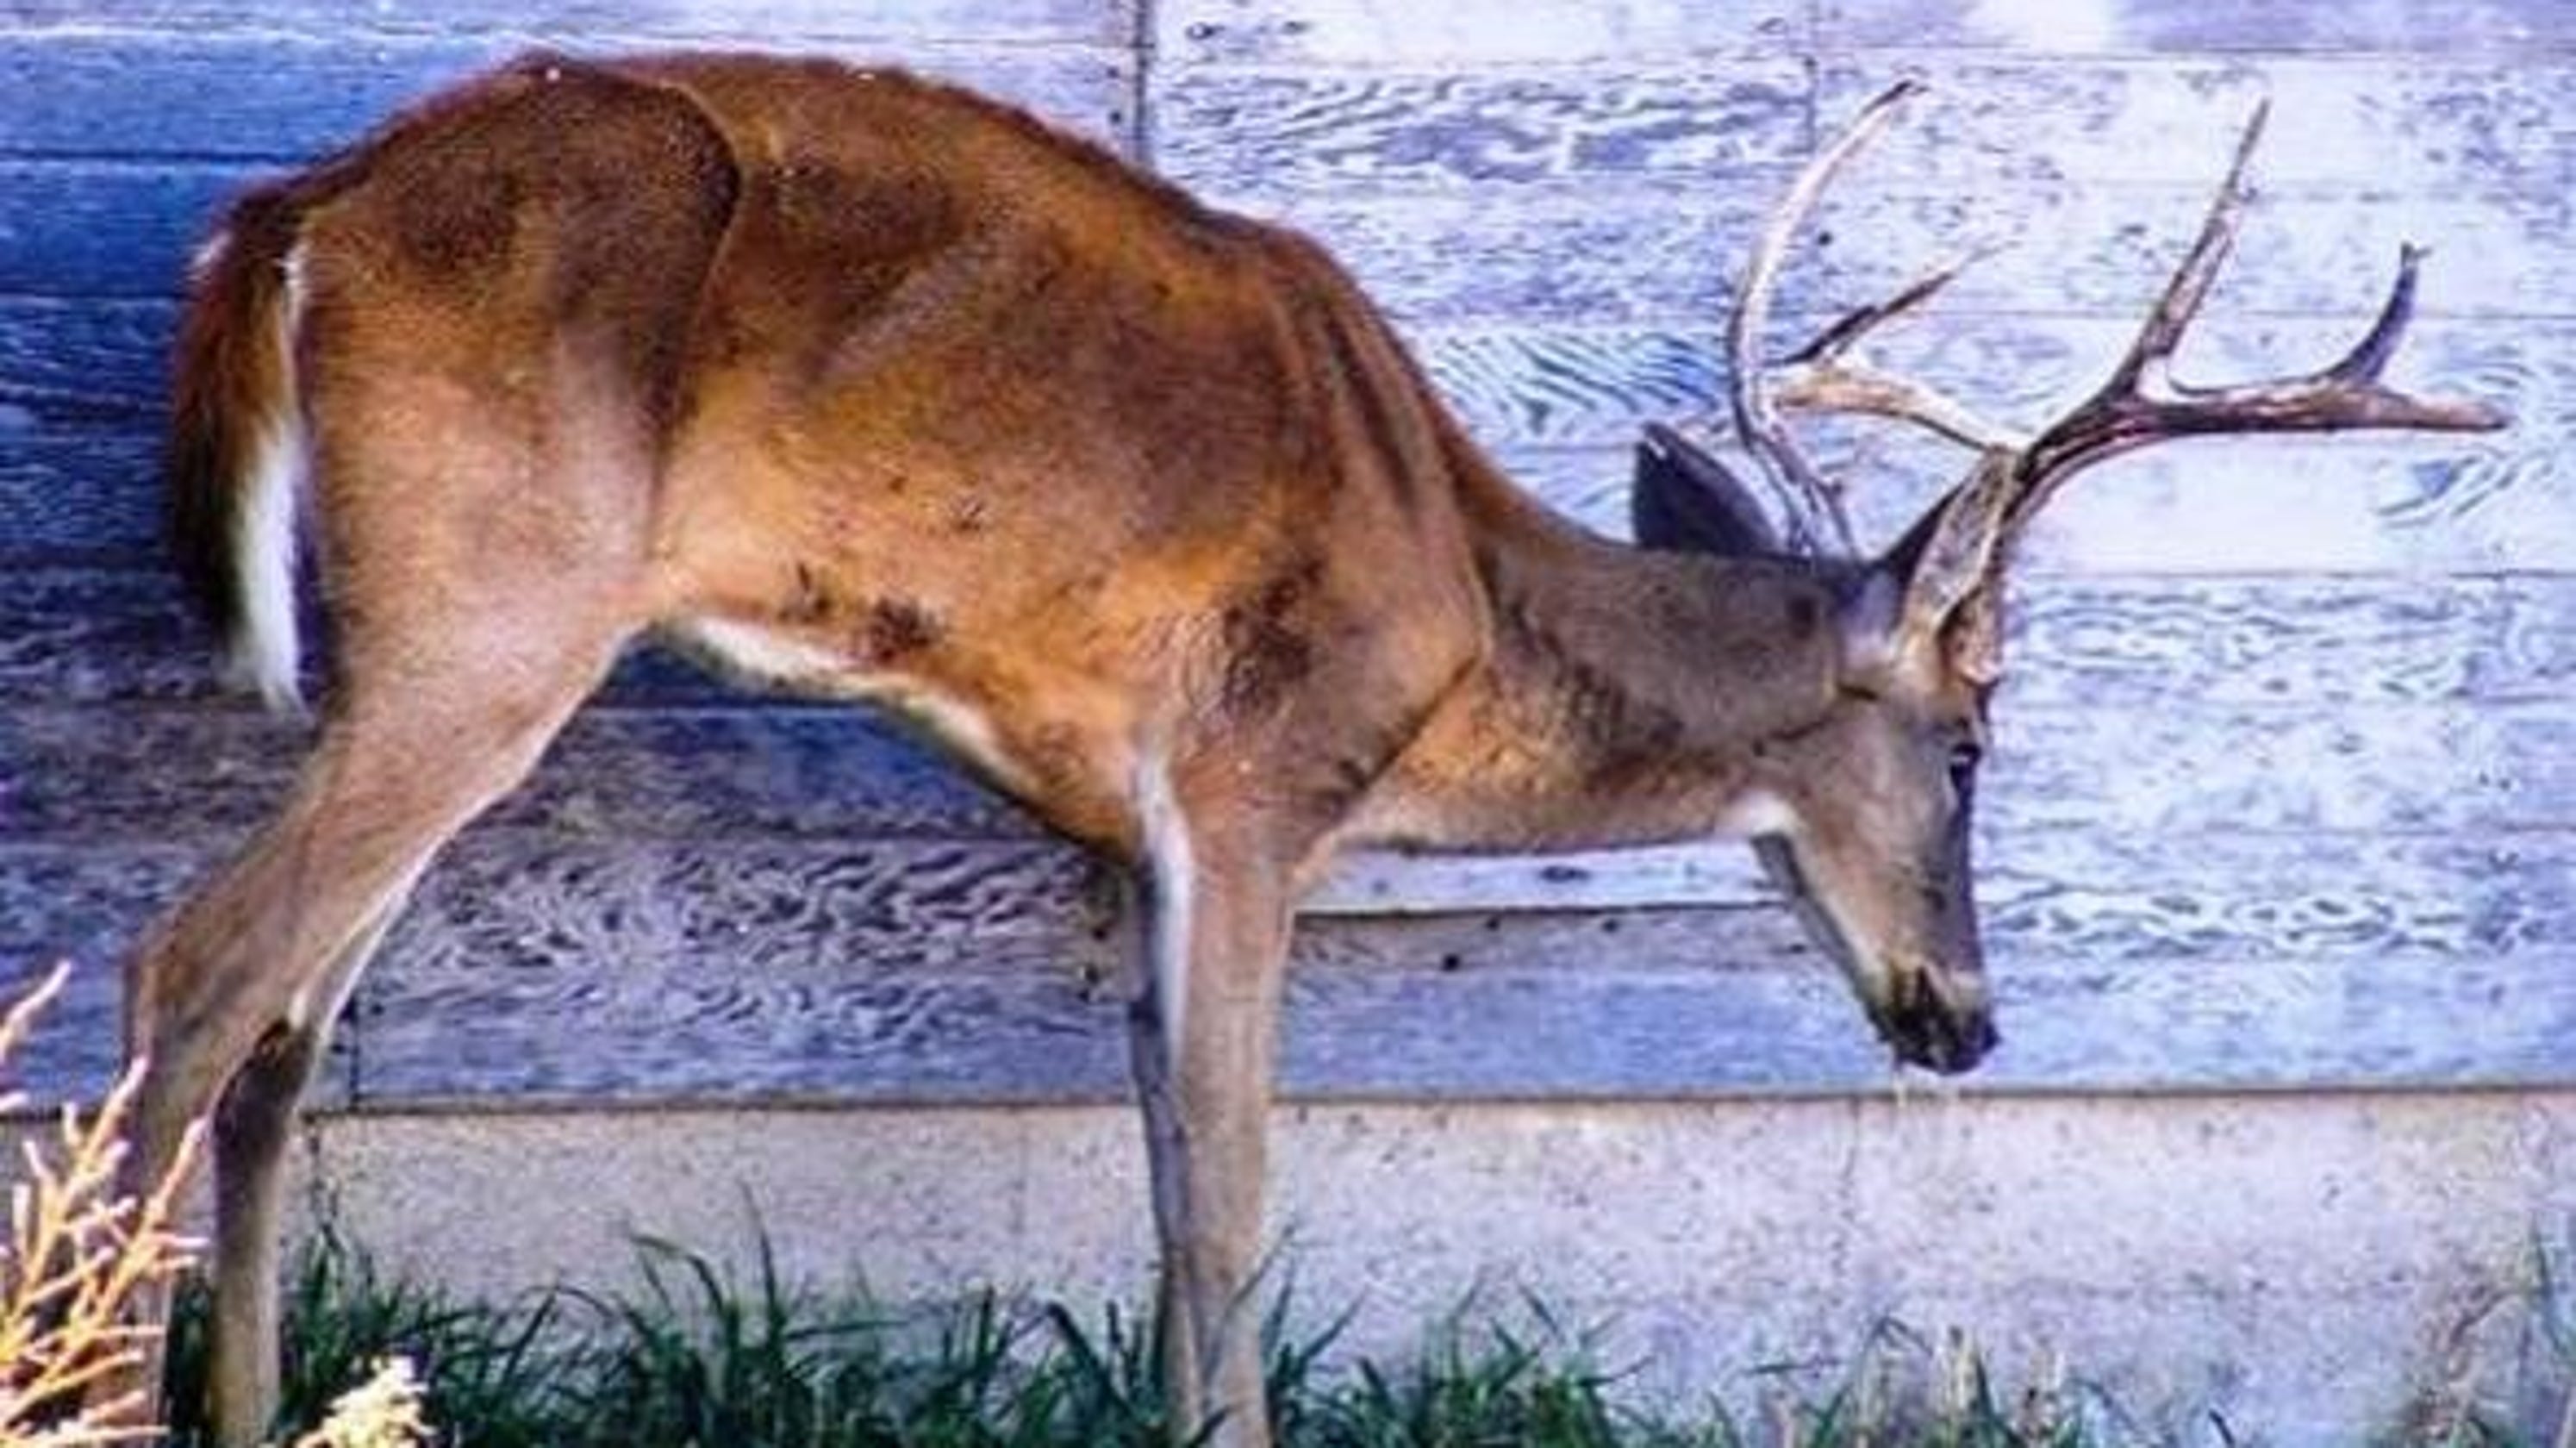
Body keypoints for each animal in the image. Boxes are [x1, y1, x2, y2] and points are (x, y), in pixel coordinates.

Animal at [122, 51, 2500, 1448]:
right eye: (1982, 739)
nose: (1968, 1021)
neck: (1459, 601)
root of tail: (292, 217)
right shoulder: (1259, 785)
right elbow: (1236, 1196)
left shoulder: (1131, 832)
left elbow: (1170, 1171)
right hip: (496, 602)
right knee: (199, 970)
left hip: (432, 642)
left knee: (287, 1031)